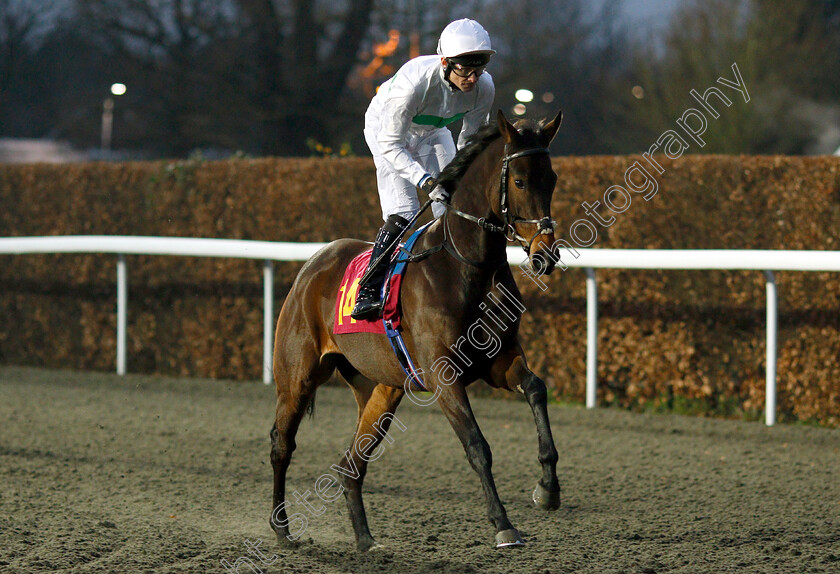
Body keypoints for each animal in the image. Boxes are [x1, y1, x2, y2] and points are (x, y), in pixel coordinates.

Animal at [272, 109, 564, 552]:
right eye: (519, 181)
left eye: (552, 179)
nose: (545, 255)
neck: (465, 267)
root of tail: (312, 265)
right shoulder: (444, 376)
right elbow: (477, 445)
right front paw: (503, 524)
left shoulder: (498, 361)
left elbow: (536, 388)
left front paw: (547, 488)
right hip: (298, 377)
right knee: (282, 445)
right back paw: (282, 529)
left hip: (381, 389)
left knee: (350, 464)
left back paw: (366, 541)